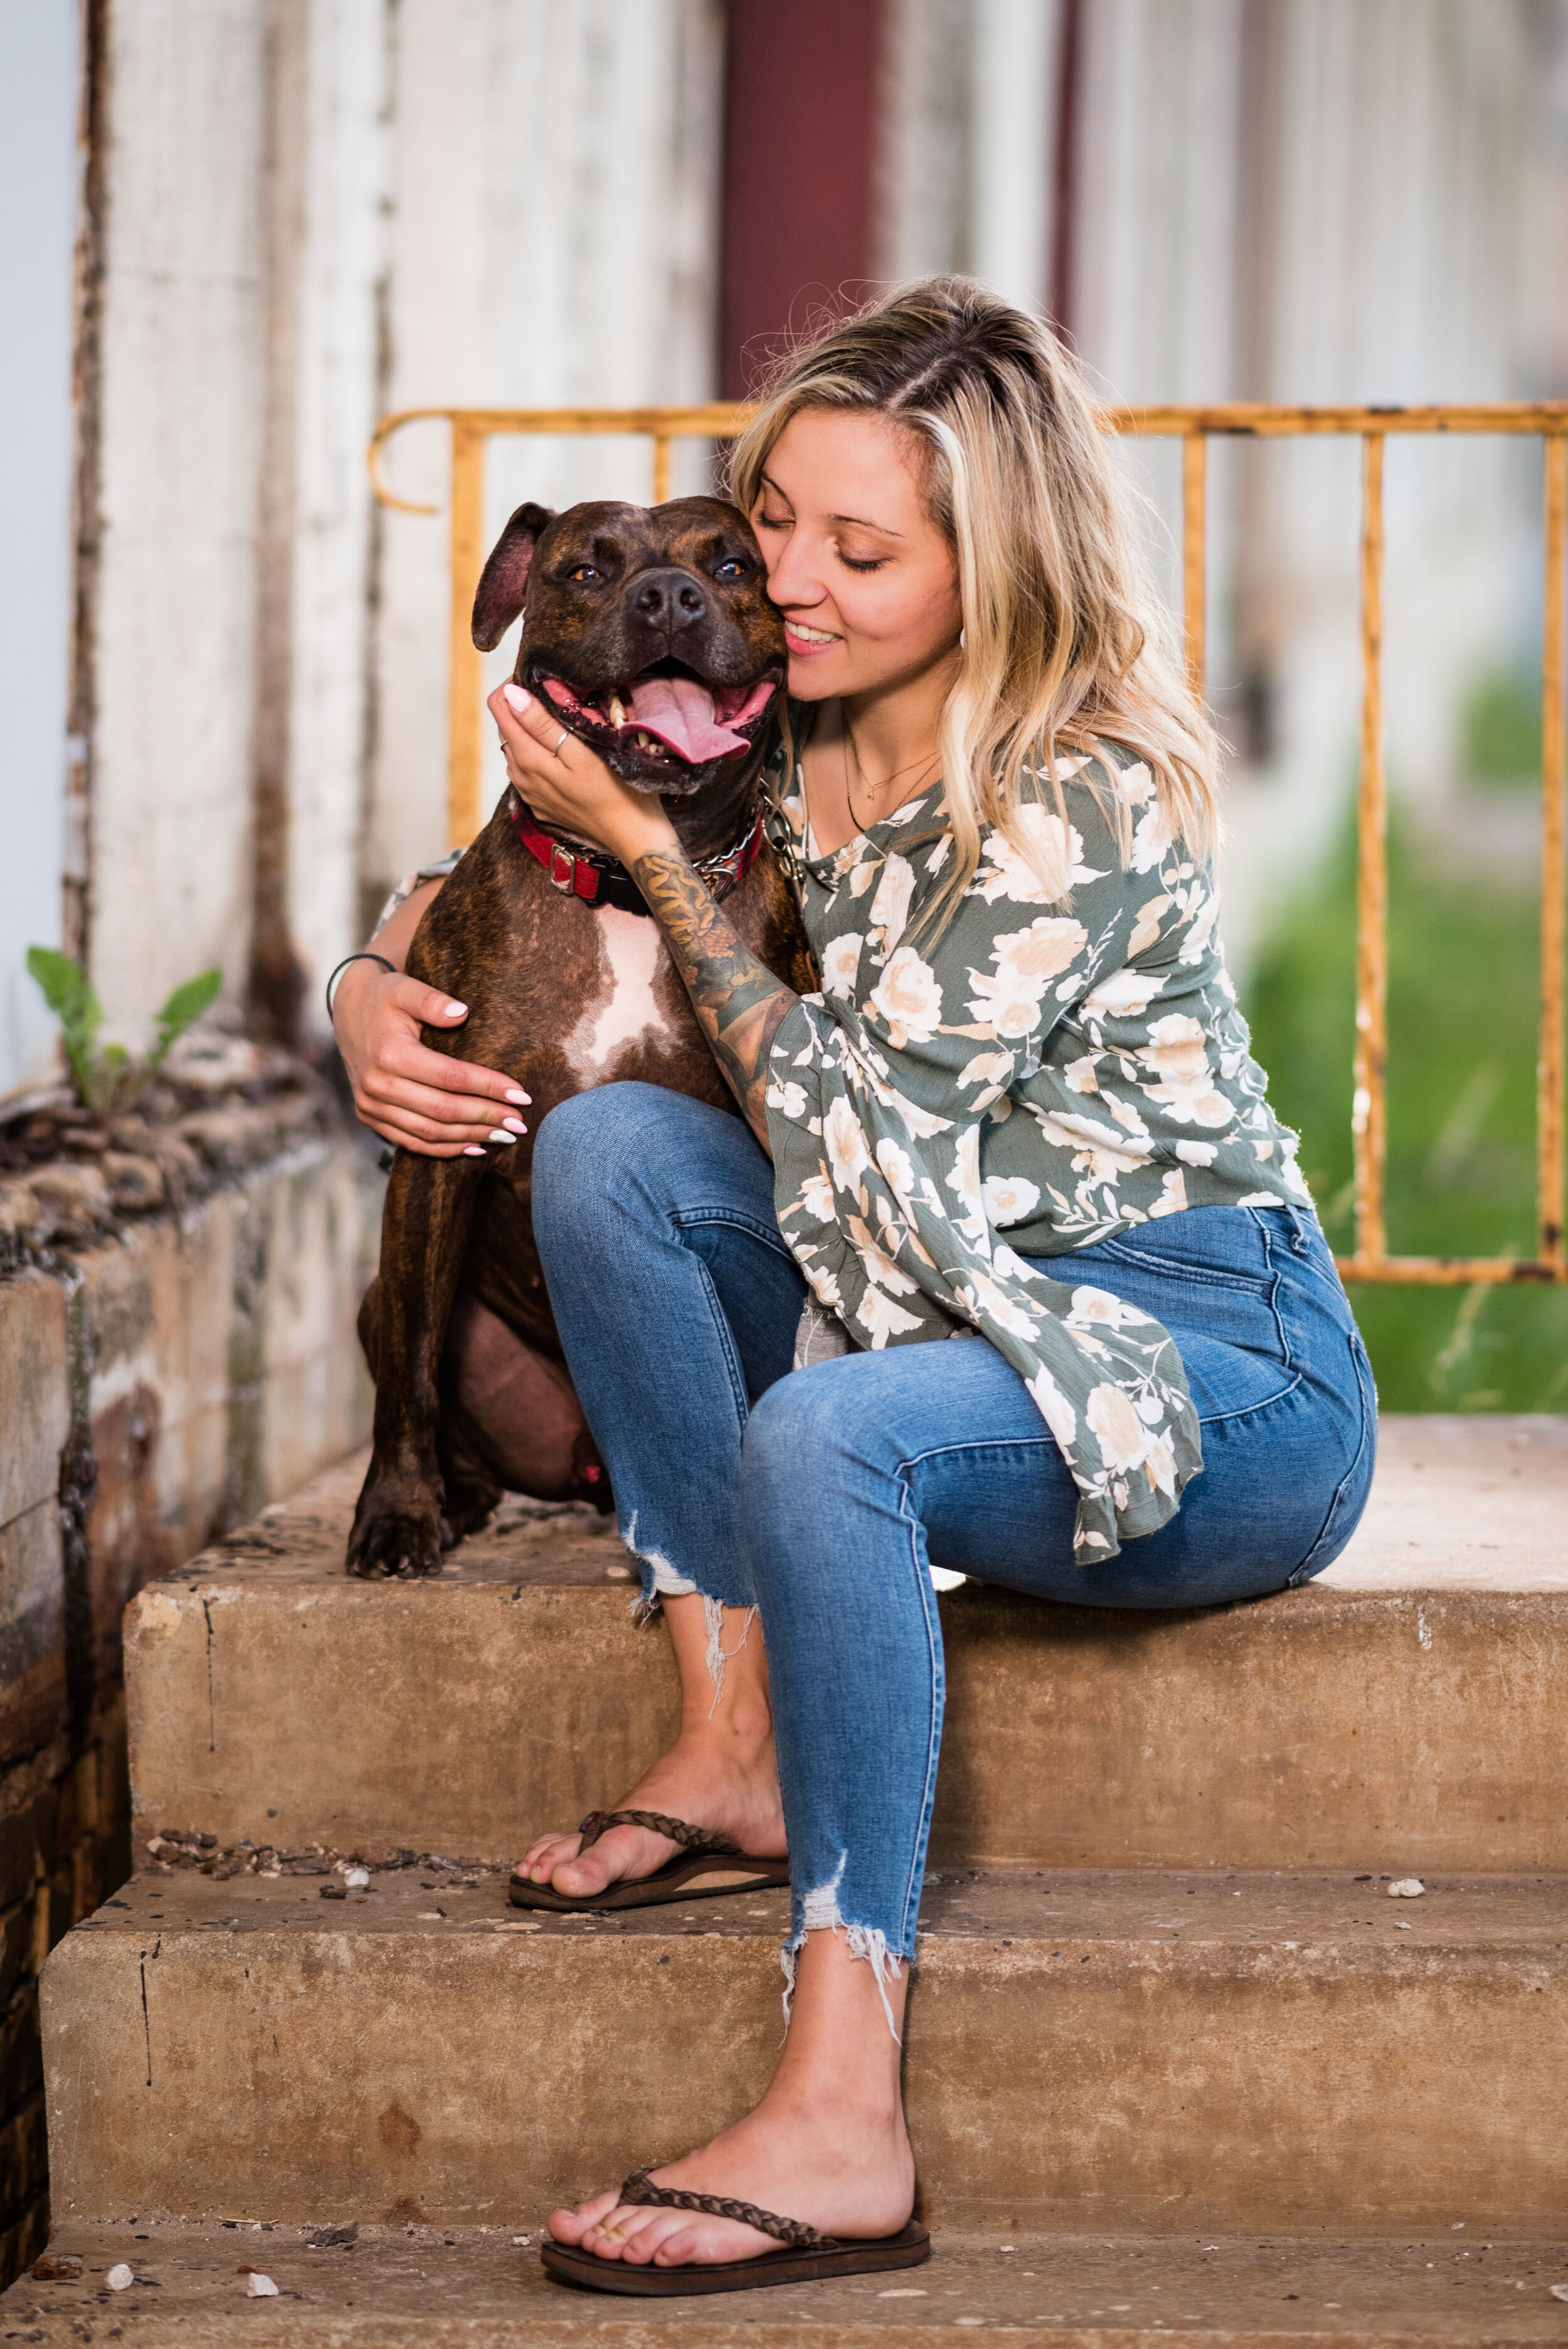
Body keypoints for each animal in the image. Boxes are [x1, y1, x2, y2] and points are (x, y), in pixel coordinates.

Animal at [349, 496, 817, 1578]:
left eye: (732, 567)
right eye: (587, 572)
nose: (669, 595)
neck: (630, 890)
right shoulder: (438, 1152)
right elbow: (413, 1371)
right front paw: (395, 1513)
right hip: (385, 1303)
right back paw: (457, 1493)